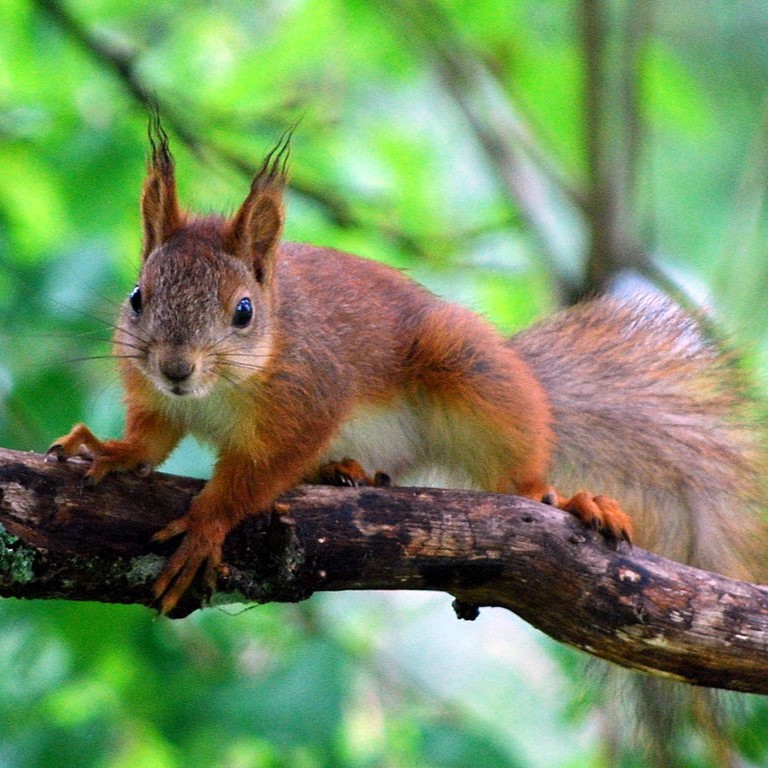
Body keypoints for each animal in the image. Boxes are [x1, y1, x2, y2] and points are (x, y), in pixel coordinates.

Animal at [46, 117, 760, 616]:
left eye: (243, 311)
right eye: (137, 297)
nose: (176, 367)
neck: (217, 393)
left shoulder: (309, 398)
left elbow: (257, 477)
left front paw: (205, 526)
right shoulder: (153, 395)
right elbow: (152, 439)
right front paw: (109, 450)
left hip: (474, 374)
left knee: (524, 483)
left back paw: (569, 499)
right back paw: (342, 469)